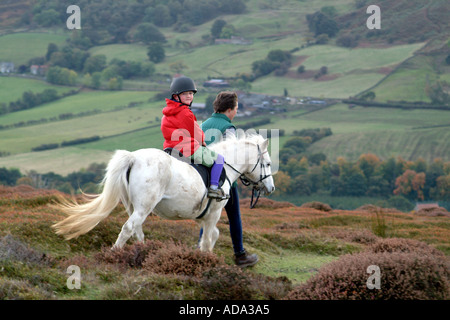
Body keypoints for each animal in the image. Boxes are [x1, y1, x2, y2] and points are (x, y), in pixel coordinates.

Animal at [52, 134, 274, 251]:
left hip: (133, 206)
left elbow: (212, 236)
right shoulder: (214, 214)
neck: (227, 165)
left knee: (136, 230)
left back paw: (142, 253)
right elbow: (208, 239)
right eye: (268, 163)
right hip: (144, 206)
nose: (271, 189)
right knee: (128, 228)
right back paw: (114, 254)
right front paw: (206, 261)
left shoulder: (201, 216)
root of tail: (133, 157)